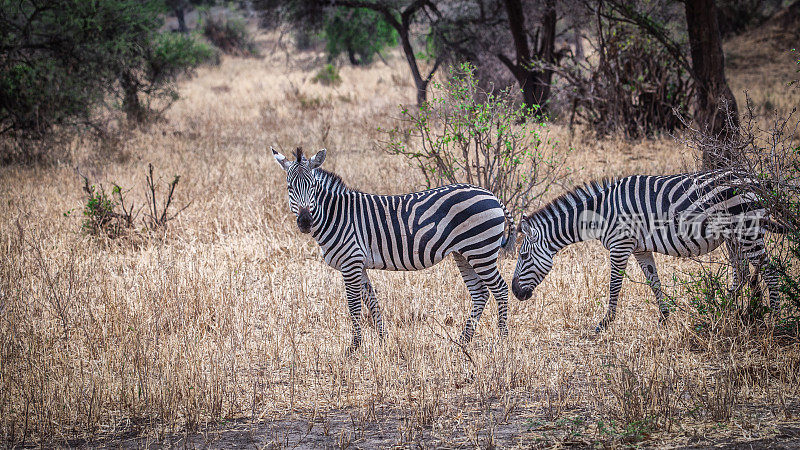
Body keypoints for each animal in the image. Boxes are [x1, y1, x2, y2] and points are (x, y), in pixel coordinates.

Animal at [272, 148, 516, 352]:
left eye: (312, 187)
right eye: (289, 188)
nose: (305, 222)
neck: (337, 215)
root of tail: (492, 195)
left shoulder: (350, 262)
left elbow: (353, 306)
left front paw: (354, 347)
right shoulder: (359, 264)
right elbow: (371, 301)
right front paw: (383, 339)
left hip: (481, 250)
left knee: (501, 289)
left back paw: (502, 341)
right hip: (464, 254)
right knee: (480, 293)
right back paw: (463, 341)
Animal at [512, 170, 788, 330]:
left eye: (523, 256)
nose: (515, 292)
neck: (600, 214)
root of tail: (753, 177)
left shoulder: (620, 245)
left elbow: (614, 285)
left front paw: (605, 323)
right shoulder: (640, 249)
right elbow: (653, 281)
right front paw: (664, 318)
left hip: (748, 230)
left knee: (771, 272)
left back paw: (774, 319)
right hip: (733, 236)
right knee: (741, 272)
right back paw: (726, 310)